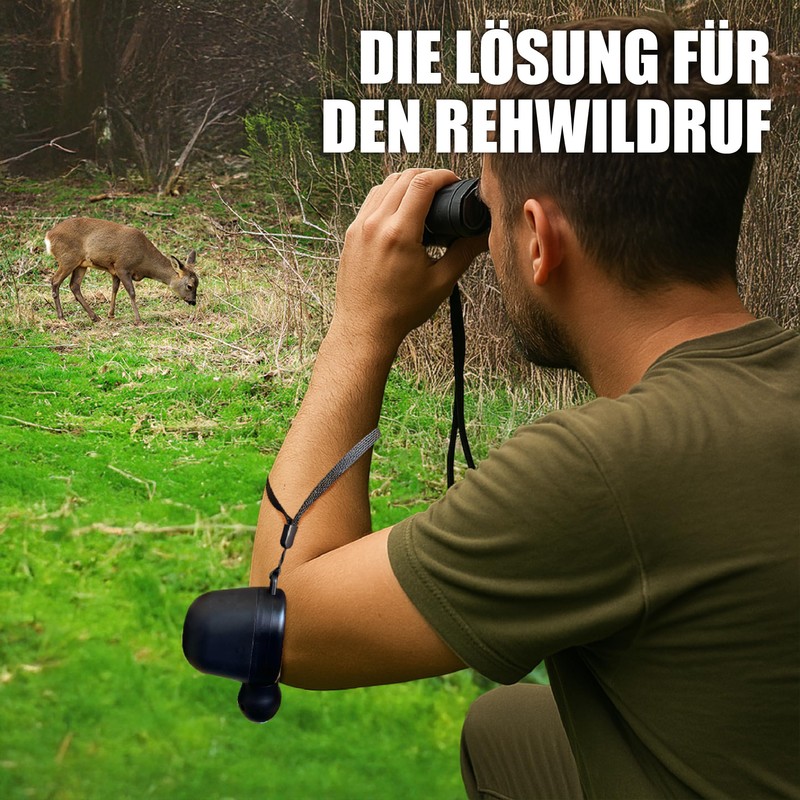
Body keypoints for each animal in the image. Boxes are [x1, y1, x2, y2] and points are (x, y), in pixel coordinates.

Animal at [44, 217, 199, 324]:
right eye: (189, 285)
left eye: (198, 283)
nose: (193, 302)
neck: (143, 261)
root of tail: (48, 236)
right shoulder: (122, 266)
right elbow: (132, 292)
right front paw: (138, 320)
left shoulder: (115, 270)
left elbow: (114, 289)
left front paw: (111, 314)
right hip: (67, 259)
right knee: (55, 281)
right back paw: (61, 317)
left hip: (81, 264)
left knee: (74, 286)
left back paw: (95, 317)